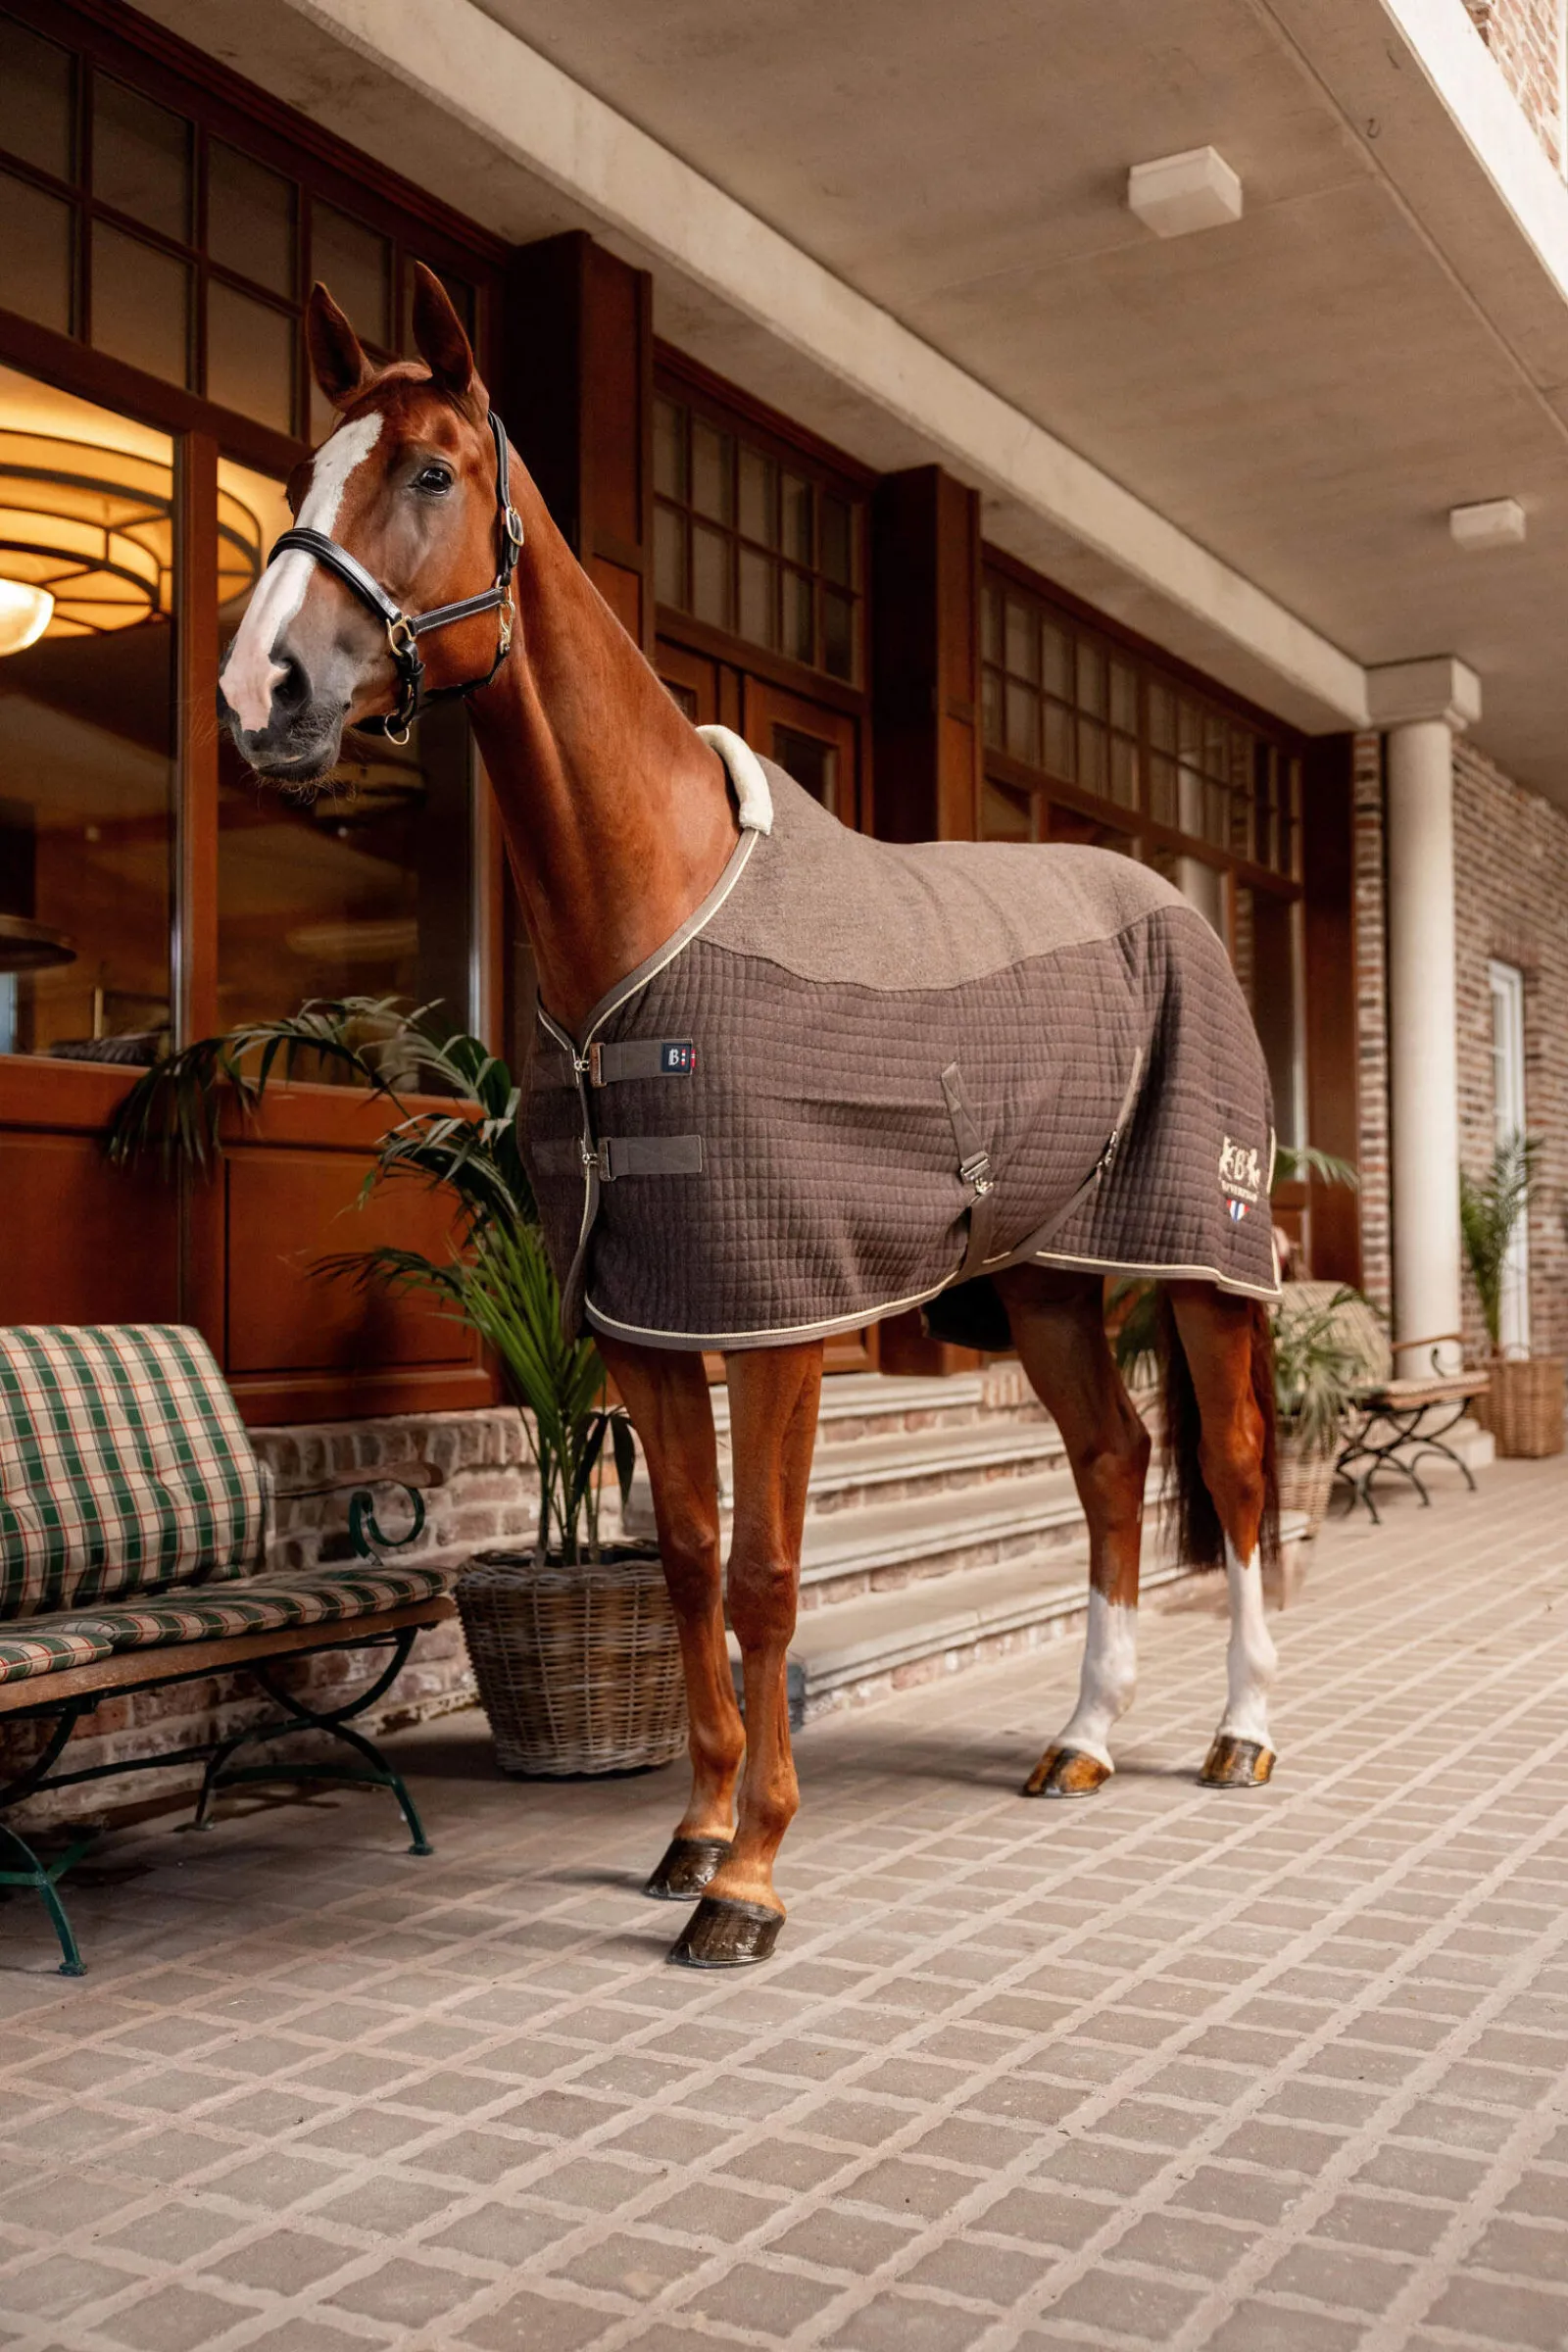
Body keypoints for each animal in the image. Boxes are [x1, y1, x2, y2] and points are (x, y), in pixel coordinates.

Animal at [217, 266, 1282, 1971]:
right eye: (303, 475)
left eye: (430, 473)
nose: (267, 690)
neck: (653, 907)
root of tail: (1176, 905)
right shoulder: (650, 1320)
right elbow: (689, 1560)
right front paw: (693, 1831)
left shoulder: (783, 1314)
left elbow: (773, 1578)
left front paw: (753, 1879)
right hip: (1048, 1285)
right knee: (1115, 1468)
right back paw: (1084, 1743)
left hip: (1200, 1263)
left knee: (1234, 1477)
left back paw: (1241, 1733)